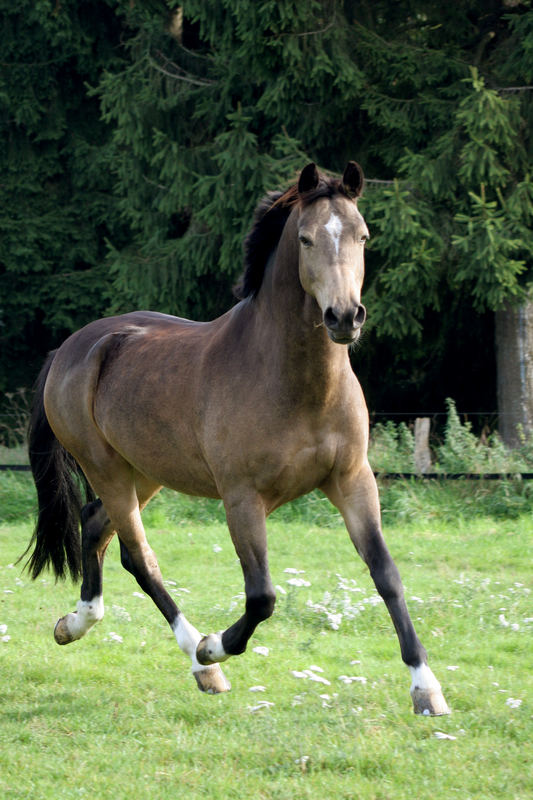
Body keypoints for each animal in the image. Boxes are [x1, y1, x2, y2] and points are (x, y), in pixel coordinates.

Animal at [23, 161, 448, 712]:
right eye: (306, 238)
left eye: (363, 235)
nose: (344, 317)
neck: (296, 385)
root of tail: (72, 348)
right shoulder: (243, 499)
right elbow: (262, 596)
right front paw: (214, 646)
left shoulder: (353, 481)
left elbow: (387, 575)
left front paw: (426, 688)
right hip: (107, 469)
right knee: (139, 556)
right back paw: (200, 660)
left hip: (145, 472)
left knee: (96, 526)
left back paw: (75, 624)